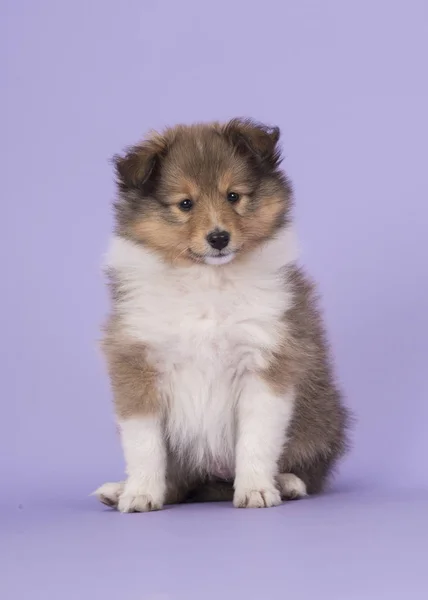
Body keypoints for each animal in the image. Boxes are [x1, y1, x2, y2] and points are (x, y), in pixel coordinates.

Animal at [92, 118, 350, 510]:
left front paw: (256, 489)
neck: (207, 279)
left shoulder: (265, 360)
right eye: (185, 203)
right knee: (179, 481)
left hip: (322, 416)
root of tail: (211, 477)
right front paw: (140, 493)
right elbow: (144, 443)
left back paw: (287, 482)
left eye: (233, 196)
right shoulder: (138, 362)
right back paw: (121, 490)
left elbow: (257, 438)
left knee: (308, 465)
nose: (218, 238)